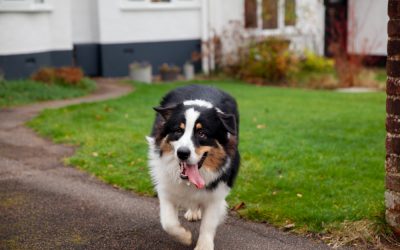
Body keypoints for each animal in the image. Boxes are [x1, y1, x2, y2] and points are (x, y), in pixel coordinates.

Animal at [148, 85, 239, 249]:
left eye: (202, 133)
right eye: (178, 130)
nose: (182, 153)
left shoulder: (217, 192)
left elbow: (208, 224)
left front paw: (204, 245)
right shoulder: (165, 185)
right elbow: (168, 223)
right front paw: (184, 237)